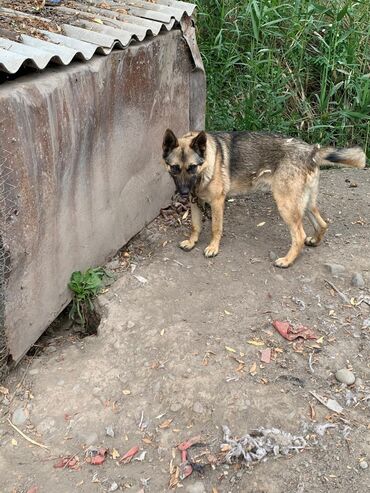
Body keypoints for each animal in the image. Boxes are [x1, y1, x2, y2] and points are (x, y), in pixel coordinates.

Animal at [161, 127, 364, 266]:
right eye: (175, 168)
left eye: (192, 168)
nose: (184, 192)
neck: (206, 164)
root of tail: (311, 150)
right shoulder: (196, 202)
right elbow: (195, 225)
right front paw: (191, 242)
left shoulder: (217, 203)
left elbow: (215, 228)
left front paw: (213, 247)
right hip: (304, 203)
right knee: (322, 223)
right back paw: (314, 240)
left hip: (286, 205)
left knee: (299, 236)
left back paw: (287, 261)